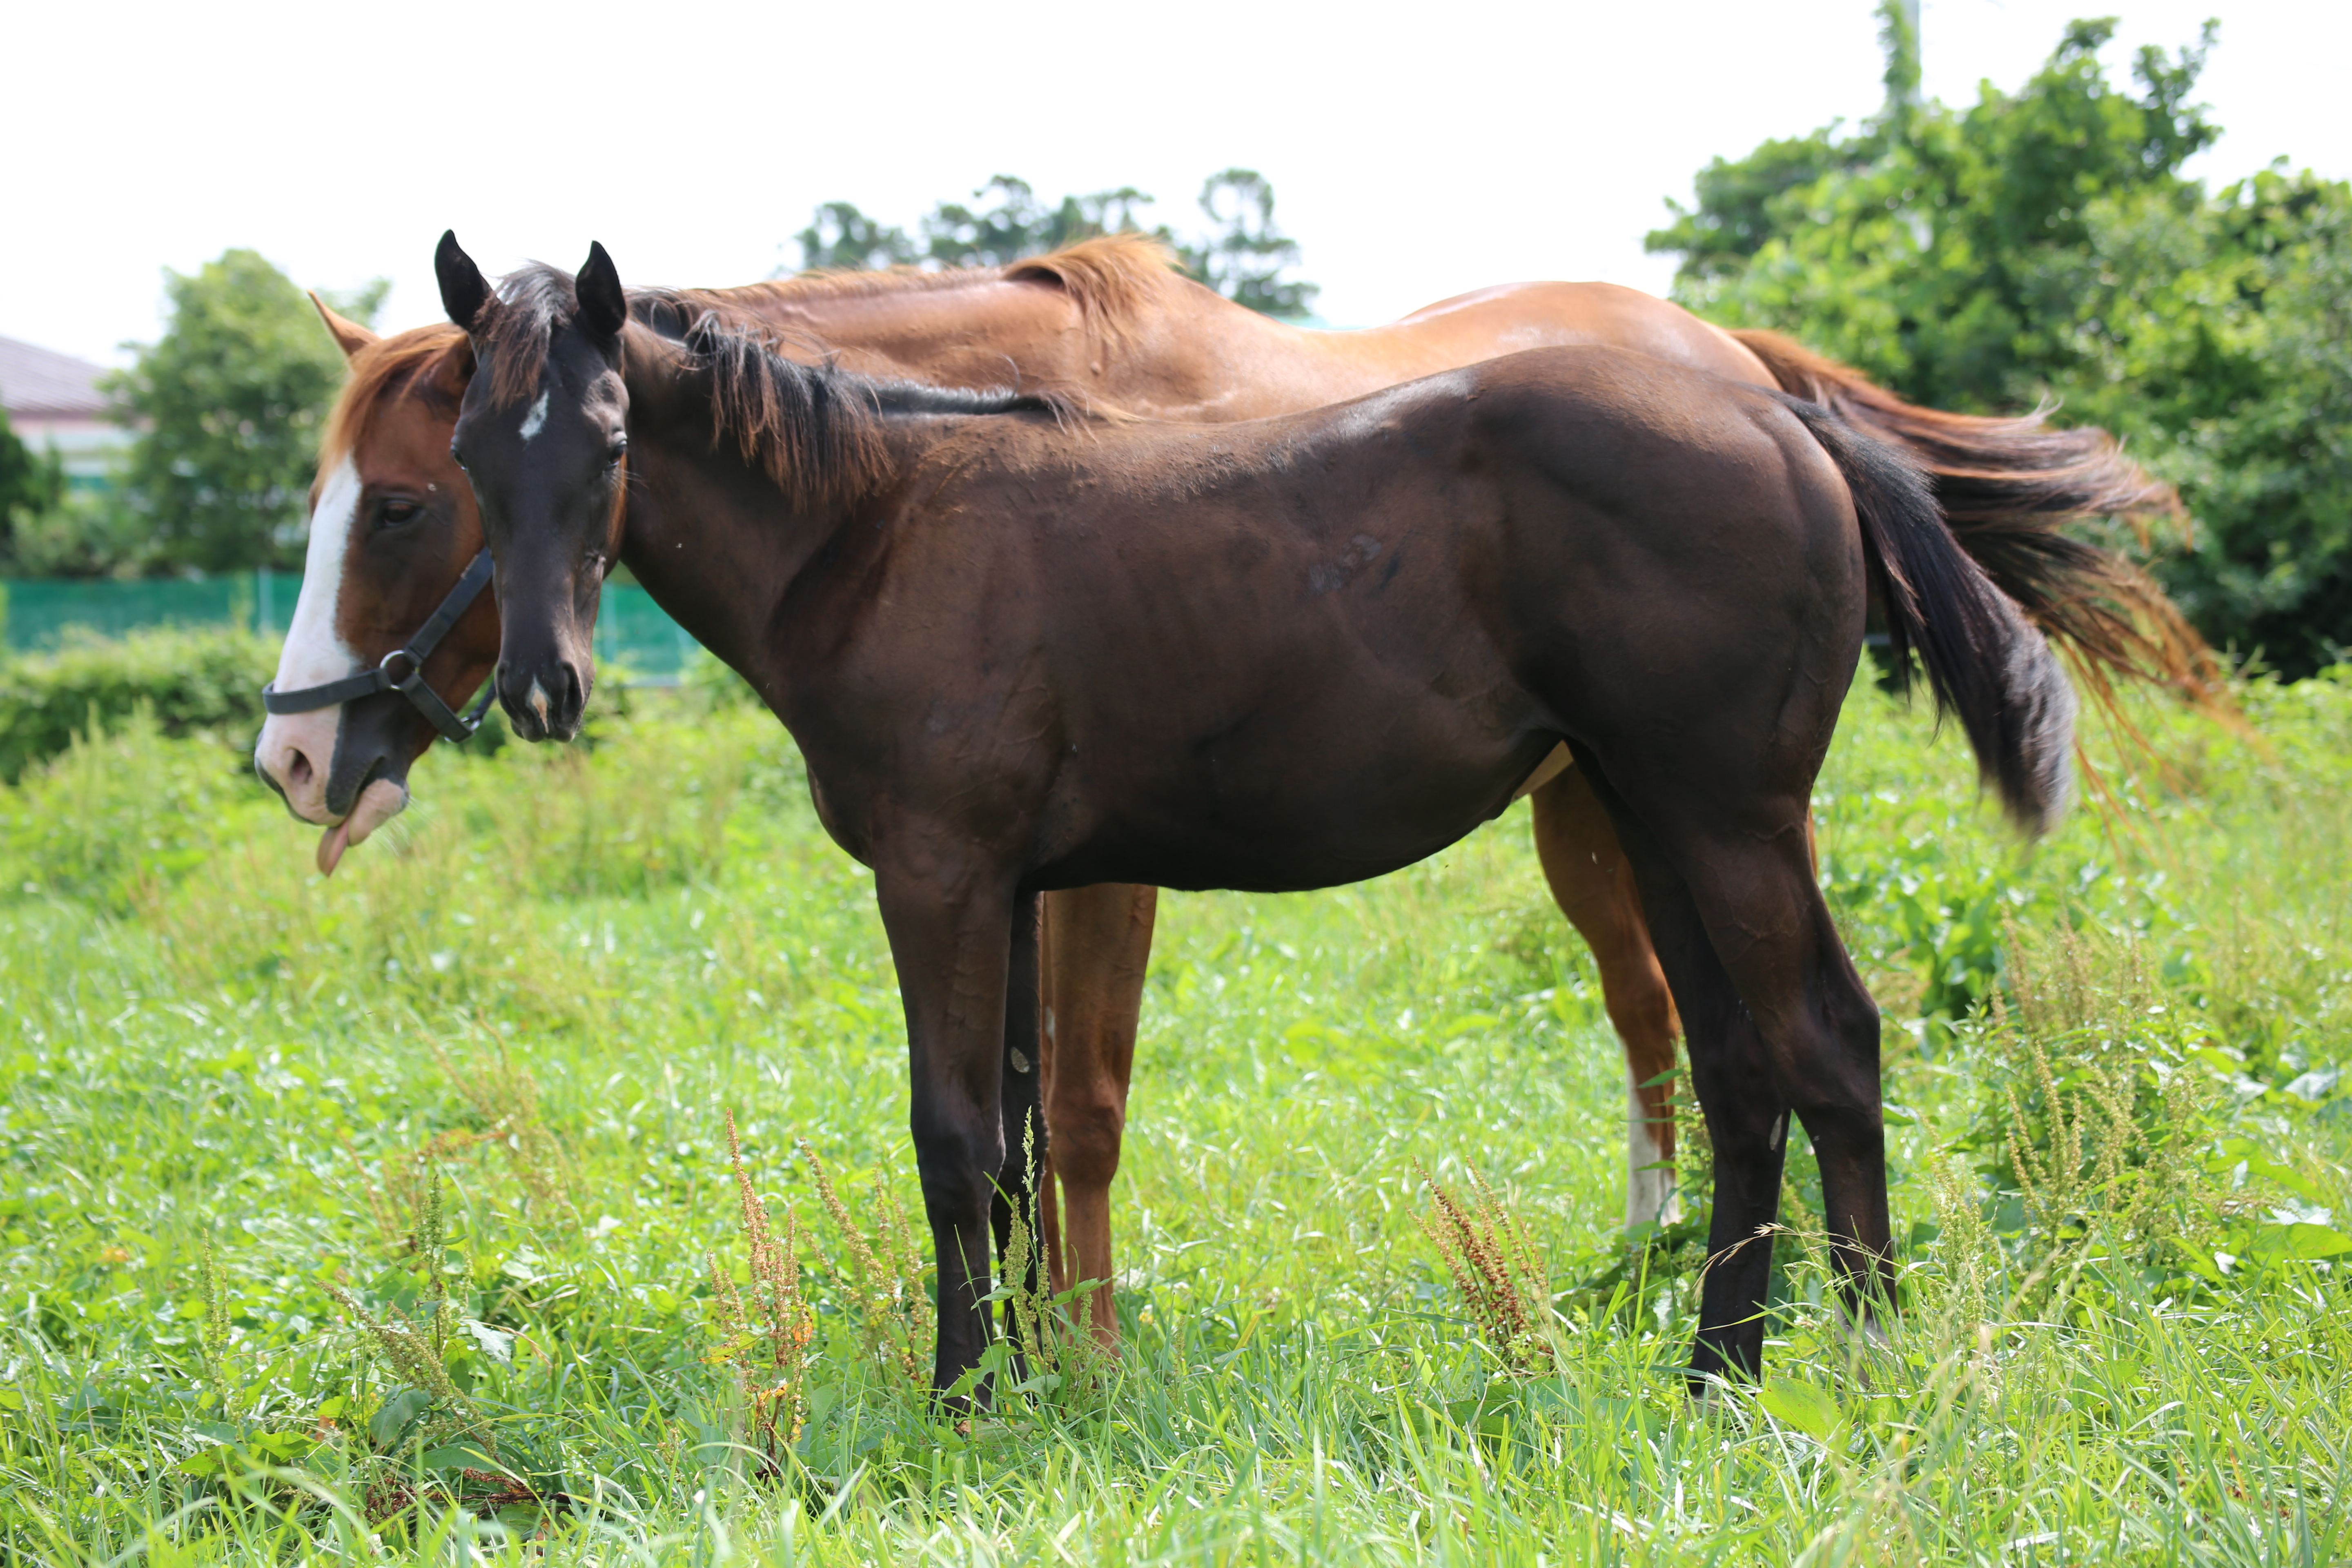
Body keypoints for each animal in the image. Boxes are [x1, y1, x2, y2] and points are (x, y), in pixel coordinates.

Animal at [267, 236, 2192, 1363]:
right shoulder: (1017, 883)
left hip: (1726, 812)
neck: (887, 527)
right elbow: (1020, 1139)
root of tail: (1780, 412)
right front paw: (1032, 1380)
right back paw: (1718, 1365)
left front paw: (968, 1401)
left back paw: (1855, 1364)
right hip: (1647, 811)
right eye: (468, 462)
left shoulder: (941, 874)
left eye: (593, 448)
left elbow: (959, 1133)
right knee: (1735, 1068)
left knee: (1827, 1045)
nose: (545, 690)